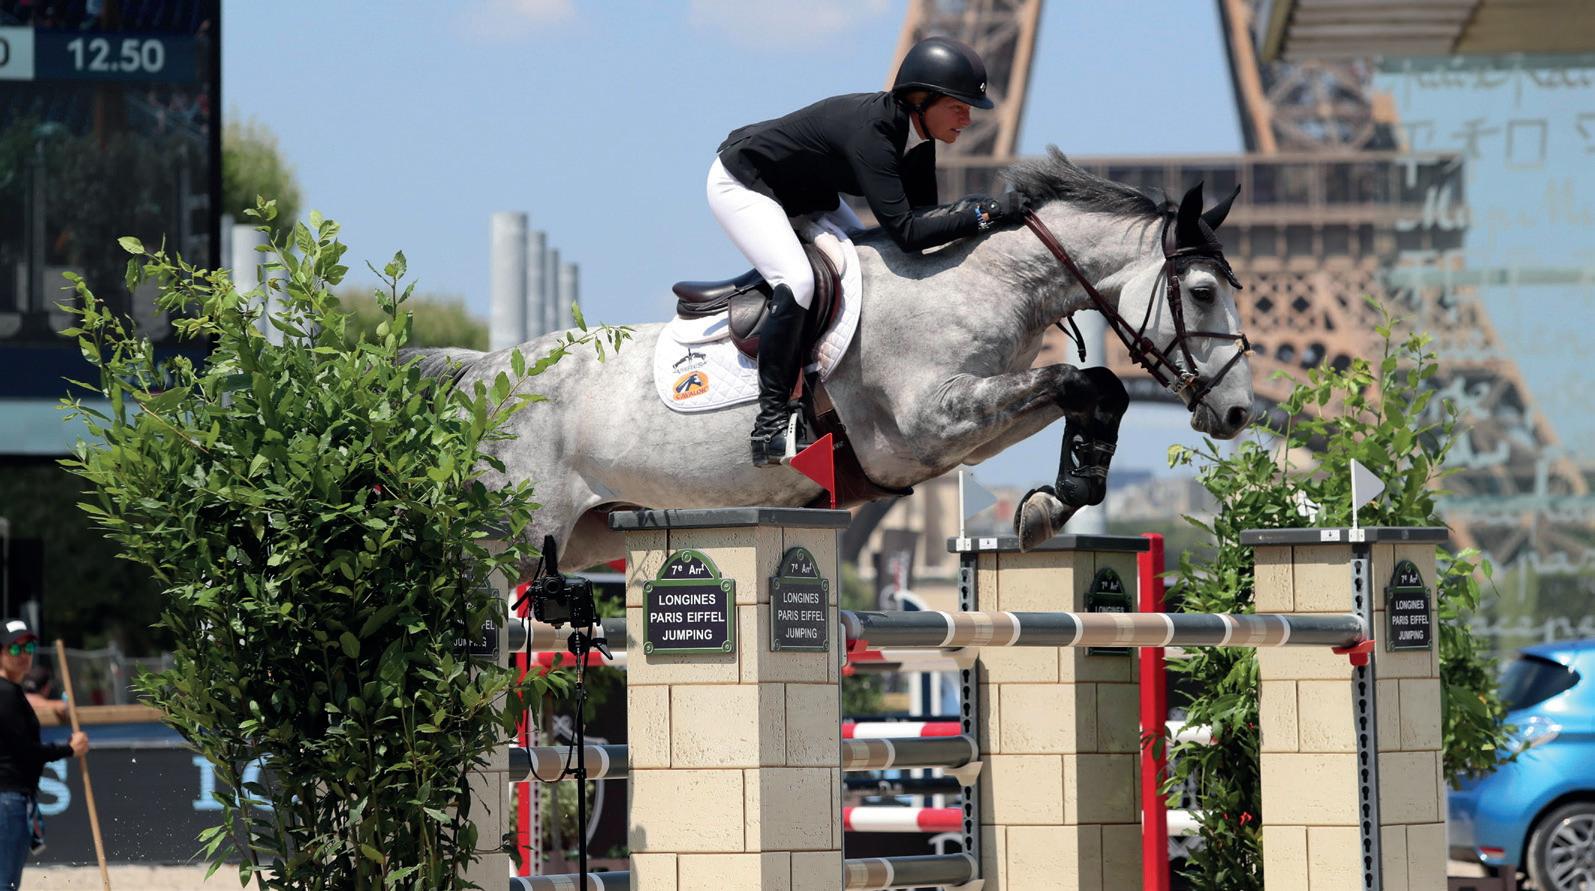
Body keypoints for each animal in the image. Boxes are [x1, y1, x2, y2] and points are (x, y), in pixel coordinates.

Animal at [413, 149, 1254, 573]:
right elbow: (1077, 378)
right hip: (515, 542)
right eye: (1202, 290)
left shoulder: (965, 424)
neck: (981, 278)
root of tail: (480, 373)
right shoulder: (923, 424)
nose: (1237, 410)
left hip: (592, 532)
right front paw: (1053, 500)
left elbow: (1095, 385)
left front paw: (1055, 499)